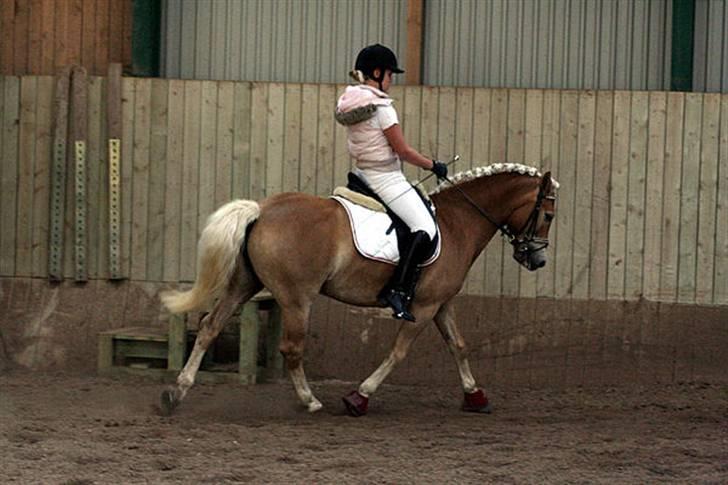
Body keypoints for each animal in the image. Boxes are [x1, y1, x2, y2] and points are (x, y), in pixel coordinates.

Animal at [159, 163, 556, 416]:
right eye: (548, 215)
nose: (537, 260)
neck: (459, 221)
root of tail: (262, 210)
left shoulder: (441, 302)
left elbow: (458, 345)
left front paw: (475, 397)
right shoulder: (423, 307)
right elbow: (398, 352)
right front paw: (359, 397)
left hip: (244, 284)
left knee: (210, 326)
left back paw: (176, 392)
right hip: (296, 298)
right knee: (291, 348)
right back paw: (309, 401)